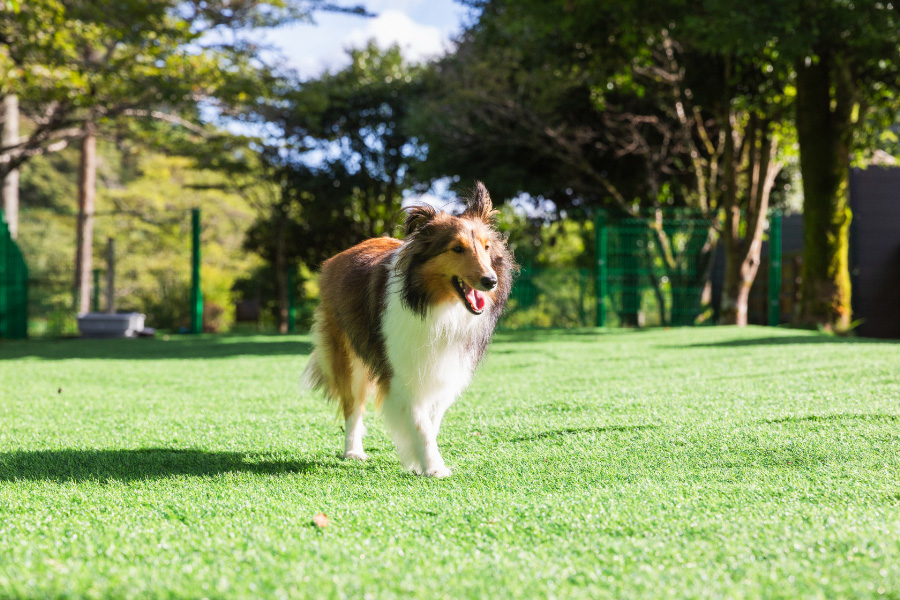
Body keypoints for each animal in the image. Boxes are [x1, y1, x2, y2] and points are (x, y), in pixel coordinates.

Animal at [300, 180, 512, 476]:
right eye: (457, 248)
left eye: (487, 247)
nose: (491, 281)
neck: (436, 306)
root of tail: (339, 256)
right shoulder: (402, 371)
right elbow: (419, 424)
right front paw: (434, 468)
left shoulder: (443, 369)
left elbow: (430, 422)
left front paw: (421, 461)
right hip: (348, 359)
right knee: (353, 407)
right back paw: (353, 451)